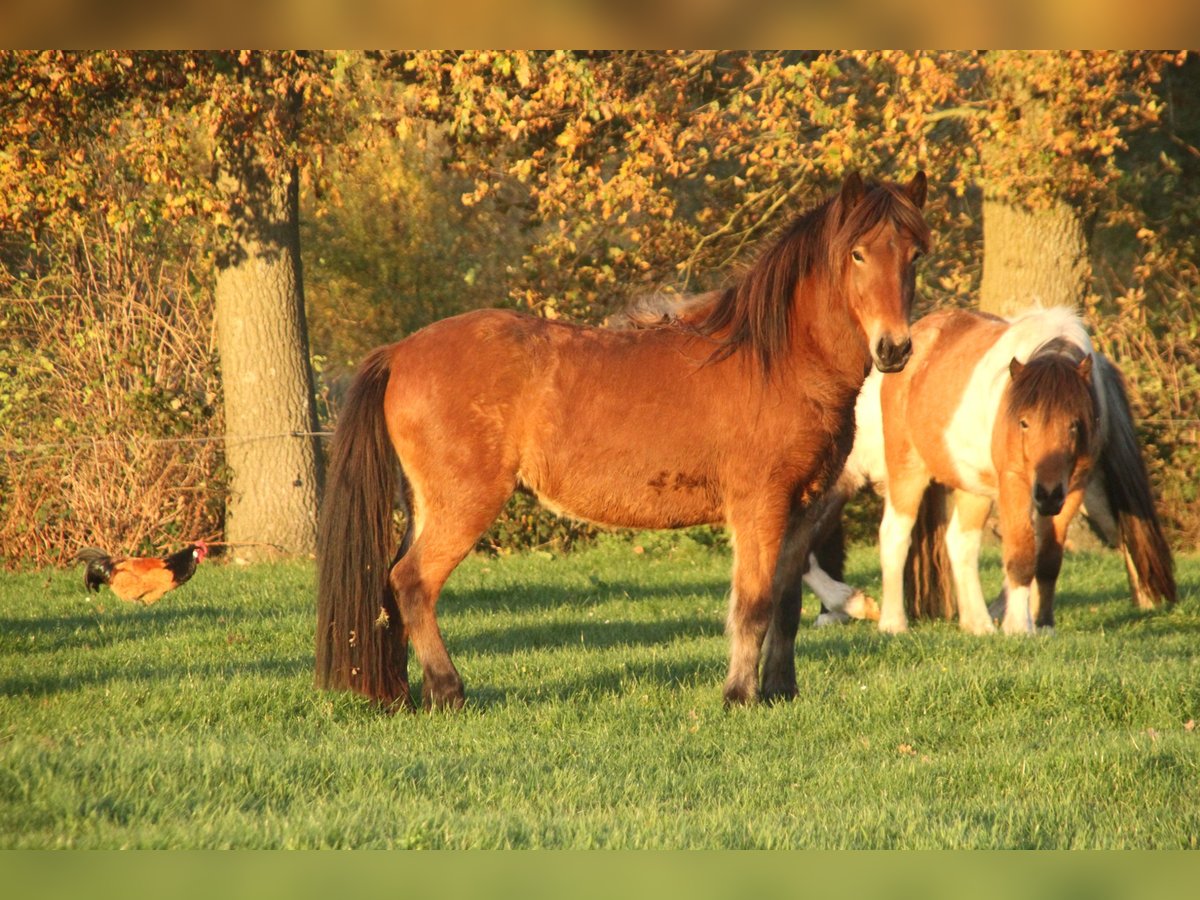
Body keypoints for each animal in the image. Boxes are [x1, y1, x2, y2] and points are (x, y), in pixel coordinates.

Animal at [315, 171, 930, 711]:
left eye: (914, 255)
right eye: (857, 254)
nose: (894, 348)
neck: (776, 361)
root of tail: (400, 351)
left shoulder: (802, 508)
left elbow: (785, 603)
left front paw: (781, 691)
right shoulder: (759, 508)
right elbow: (752, 605)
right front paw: (739, 696)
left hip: (426, 506)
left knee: (392, 586)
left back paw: (402, 694)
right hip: (464, 505)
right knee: (412, 583)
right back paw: (448, 693)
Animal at [802, 306, 1175, 634]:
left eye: (1074, 424)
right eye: (1023, 422)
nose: (1048, 493)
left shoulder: (1073, 487)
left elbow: (1047, 557)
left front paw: (1042, 624)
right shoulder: (1014, 483)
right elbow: (1022, 554)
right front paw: (1019, 627)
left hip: (976, 486)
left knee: (960, 542)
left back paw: (977, 623)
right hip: (908, 471)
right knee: (895, 535)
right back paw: (894, 623)